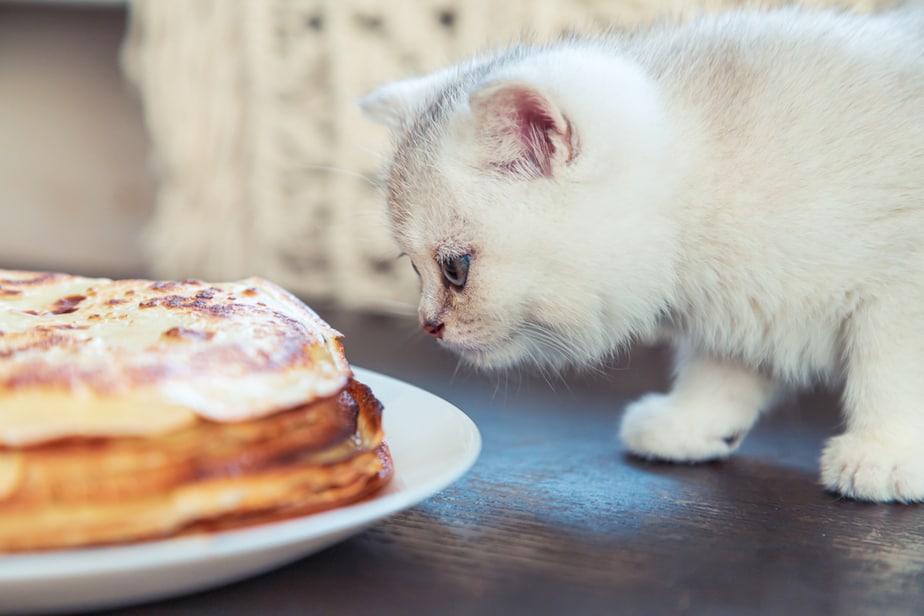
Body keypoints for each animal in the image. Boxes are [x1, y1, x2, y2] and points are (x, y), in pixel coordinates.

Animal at [360, 7, 924, 502]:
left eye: (454, 269)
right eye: (412, 268)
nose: (429, 325)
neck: (708, 173)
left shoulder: (903, 286)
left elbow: (891, 369)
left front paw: (886, 452)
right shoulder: (746, 298)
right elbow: (727, 361)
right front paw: (695, 420)